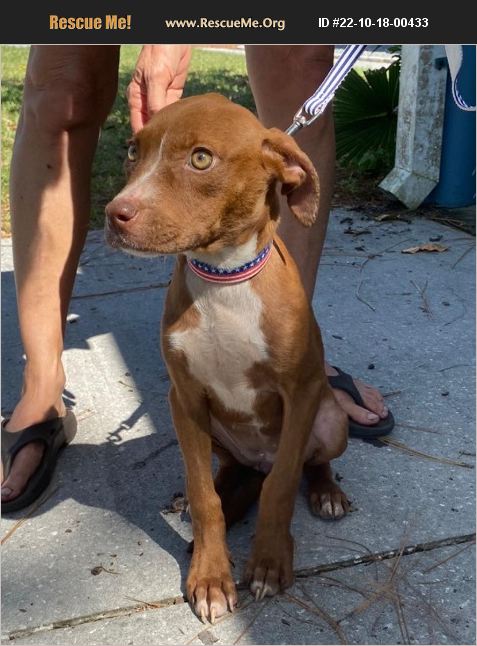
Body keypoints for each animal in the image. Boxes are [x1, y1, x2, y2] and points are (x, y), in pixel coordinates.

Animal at [105, 93, 349, 622]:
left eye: (201, 159)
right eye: (133, 151)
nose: (115, 214)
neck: (223, 280)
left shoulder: (300, 393)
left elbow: (281, 485)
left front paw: (270, 562)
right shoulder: (185, 399)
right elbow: (204, 496)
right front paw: (211, 574)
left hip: (331, 418)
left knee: (300, 465)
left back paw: (326, 492)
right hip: (214, 432)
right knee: (233, 477)